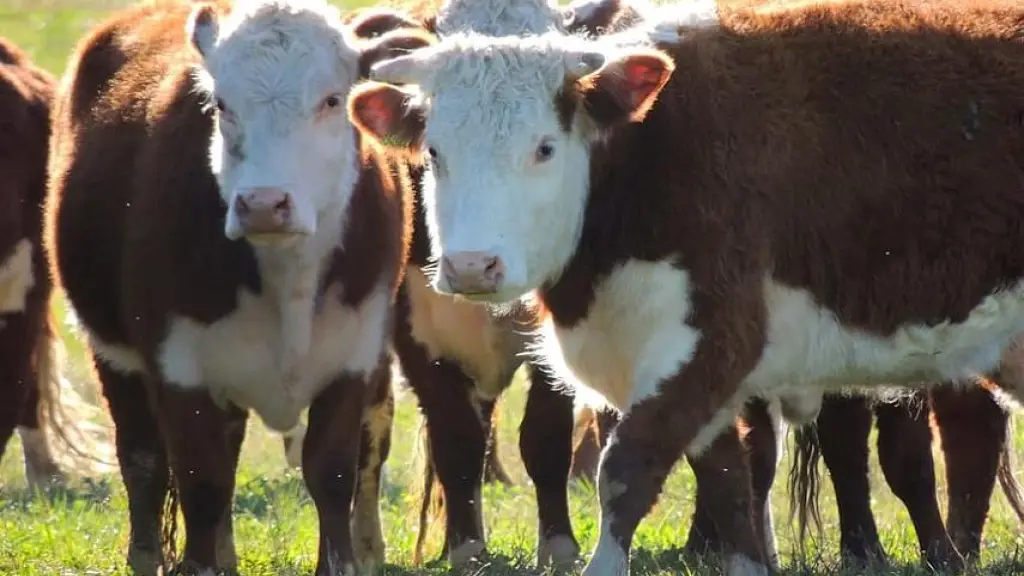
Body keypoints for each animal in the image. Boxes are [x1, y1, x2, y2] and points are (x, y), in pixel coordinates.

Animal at [43, 2, 436, 569]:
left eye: (331, 99)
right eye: (222, 104)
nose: (264, 203)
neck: (286, 277)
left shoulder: (353, 356)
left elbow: (332, 472)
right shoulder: (178, 366)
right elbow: (201, 480)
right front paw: (200, 564)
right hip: (114, 355)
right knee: (143, 460)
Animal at [350, 0, 1024, 569]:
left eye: (544, 148)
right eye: (434, 151)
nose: (471, 266)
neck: (647, 155)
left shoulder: (711, 340)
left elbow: (626, 469)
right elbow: (729, 481)